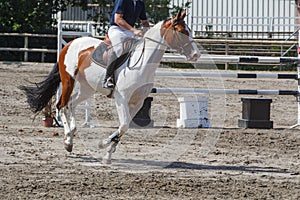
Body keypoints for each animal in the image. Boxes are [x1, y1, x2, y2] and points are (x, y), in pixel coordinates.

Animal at [19, 9, 200, 164]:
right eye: (182, 32)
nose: (196, 55)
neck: (143, 63)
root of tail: (70, 43)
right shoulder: (121, 98)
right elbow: (124, 125)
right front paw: (104, 145)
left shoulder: (138, 102)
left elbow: (123, 128)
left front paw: (106, 153)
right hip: (69, 81)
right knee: (61, 105)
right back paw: (68, 140)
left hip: (87, 88)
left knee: (70, 104)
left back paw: (71, 135)